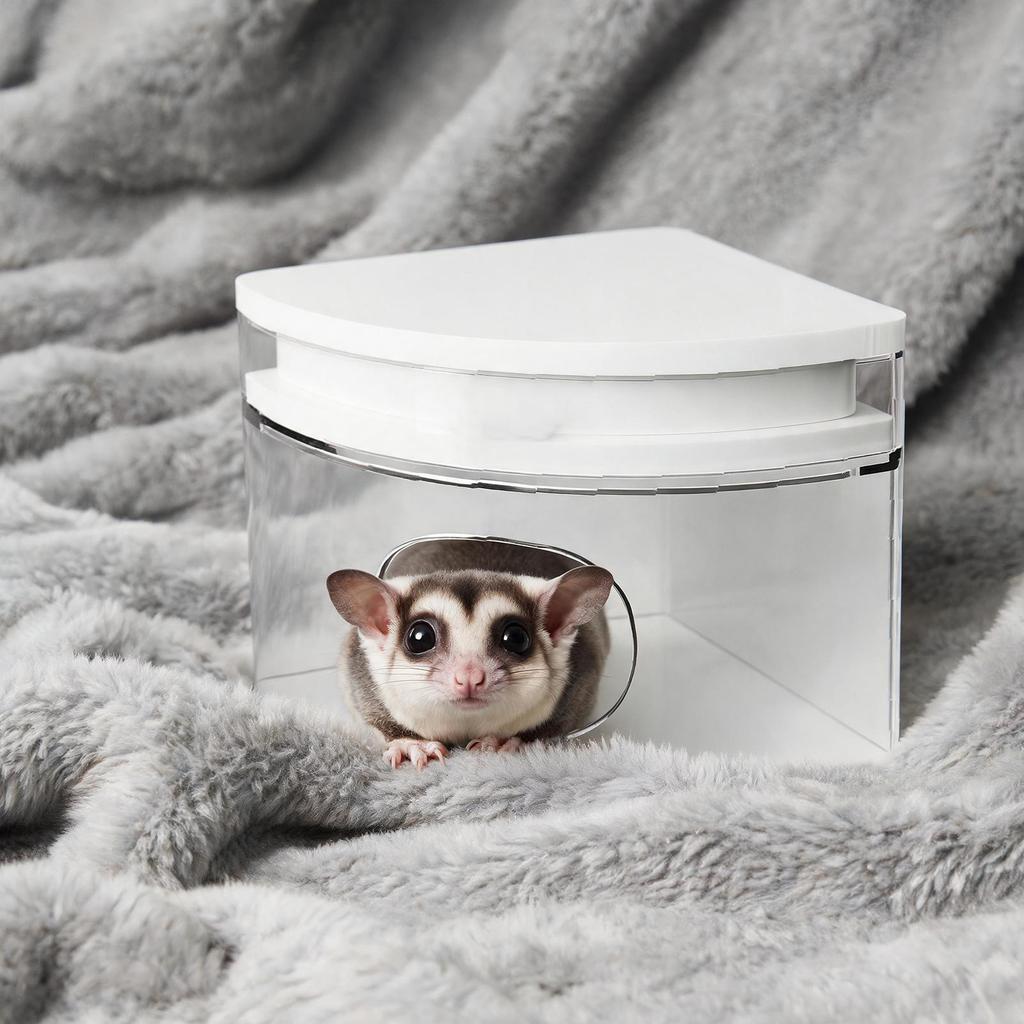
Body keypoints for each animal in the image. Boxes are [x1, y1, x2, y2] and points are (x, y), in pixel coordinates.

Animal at [326, 542, 613, 768]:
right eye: (420, 638)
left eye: (516, 639)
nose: (470, 678)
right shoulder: (358, 672)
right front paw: (411, 744)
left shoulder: (582, 680)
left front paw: (503, 741)